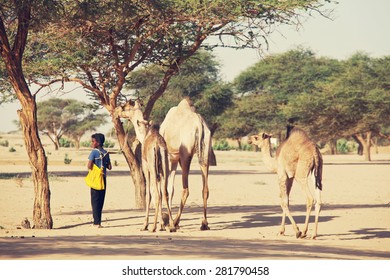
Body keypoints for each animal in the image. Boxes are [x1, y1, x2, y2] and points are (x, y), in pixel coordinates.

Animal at [112, 100, 174, 232]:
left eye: (124, 106)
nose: (115, 112)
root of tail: (158, 145)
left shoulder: (146, 168)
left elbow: (149, 194)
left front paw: (145, 225)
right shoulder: (160, 172)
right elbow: (160, 192)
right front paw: (162, 224)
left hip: (151, 166)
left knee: (156, 193)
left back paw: (153, 227)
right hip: (165, 166)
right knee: (164, 192)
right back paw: (172, 226)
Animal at [159, 98, 213, 230]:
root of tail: (199, 124)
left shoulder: (169, 158)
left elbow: (166, 188)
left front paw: (164, 223)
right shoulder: (173, 159)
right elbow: (170, 189)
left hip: (185, 156)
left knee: (186, 189)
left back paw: (175, 222)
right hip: (205, 152)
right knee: (205, 188)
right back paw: (204, 223)